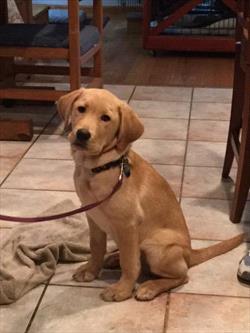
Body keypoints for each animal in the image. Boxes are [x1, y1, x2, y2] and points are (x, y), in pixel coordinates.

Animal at [57, 87, 244, 300]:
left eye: (105, 118)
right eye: (81, 109)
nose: (82, 134)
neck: (99, 168)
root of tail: (189, 252)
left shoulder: (128, 225)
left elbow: (130, 263)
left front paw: (122, 289)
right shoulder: (93, 217)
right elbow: (96, 247)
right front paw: (90, 270)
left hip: (156, 247)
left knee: (182, 275)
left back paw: (150, 287)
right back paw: (113, 259)